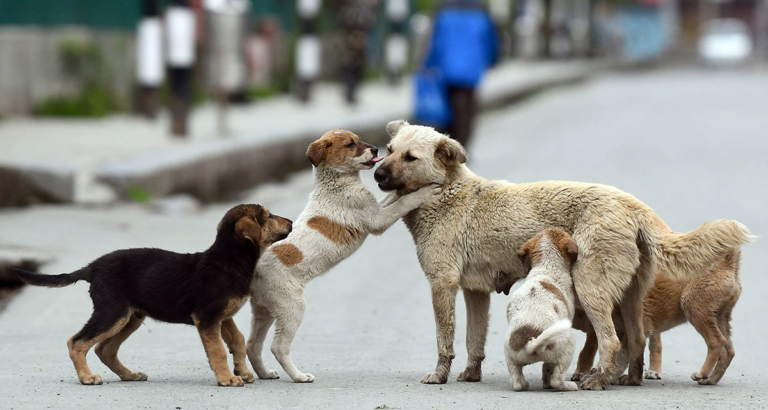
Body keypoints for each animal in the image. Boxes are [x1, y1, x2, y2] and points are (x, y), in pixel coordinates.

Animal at [15, 205, 292, 388]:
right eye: (269, 216)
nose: (290, 221)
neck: (229, 260)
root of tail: (92, 267)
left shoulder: (222, 316)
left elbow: (237, 341)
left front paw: (242, 372)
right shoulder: (207, 317)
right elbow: (218, 351)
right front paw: (227, 378)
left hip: (130, 317)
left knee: (105, 349)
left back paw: (129, 375)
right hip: (112, 313)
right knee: (77, 342)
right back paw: (87, 377)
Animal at [246, 130, 438, 382]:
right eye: (350, 145)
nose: (376, 149)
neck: (337, 183)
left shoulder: (375, 208)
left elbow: (393, 198)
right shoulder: (377, 220)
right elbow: (402, 203)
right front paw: (424, 191)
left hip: (264, 310)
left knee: (252, 345)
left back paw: (266, 373)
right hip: (291, 307)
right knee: (277, 347)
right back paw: (299, 376)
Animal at [504, 229, 576, 392]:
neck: (547, 267)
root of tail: (530, 343)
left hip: (510, 355)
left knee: (517, 382)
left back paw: (524, 384)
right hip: (568, 347)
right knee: (557, 380)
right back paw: (569, 386)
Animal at [572, 248, 740, 386]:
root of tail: (728, 263)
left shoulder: (637, 329)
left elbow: (624, 355)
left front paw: (615, 377)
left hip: (694, 308)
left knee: (716, 342)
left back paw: (701, 373)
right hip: (721, 317)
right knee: (729, 351)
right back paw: (710, 380)